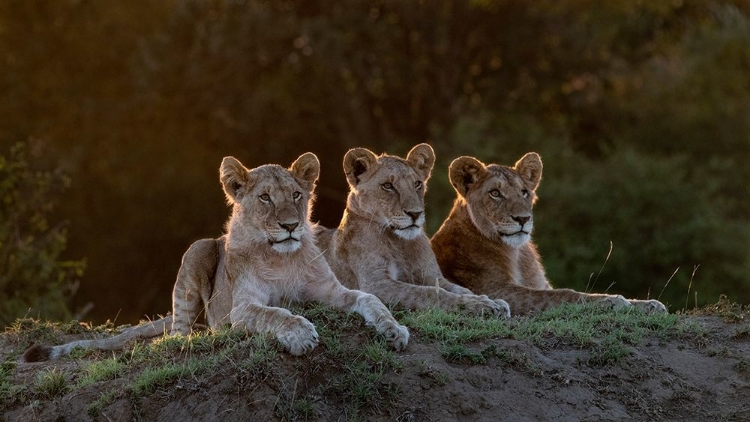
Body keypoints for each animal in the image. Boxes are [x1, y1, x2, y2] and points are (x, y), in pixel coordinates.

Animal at [22, 153, 412, 362]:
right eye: (265, 198)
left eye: (297, 195)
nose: (290, 226)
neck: (282, 258)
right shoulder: (242, 308)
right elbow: (277, 313)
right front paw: (301, 334)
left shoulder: (331, 291)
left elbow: (370, 298)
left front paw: (394, 329)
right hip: (199, 250)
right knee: (179, 331)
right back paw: (194, 337)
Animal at [314, 144, 516, 316]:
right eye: (388, 186)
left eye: (417, 184)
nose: (415, 213)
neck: (400, 242)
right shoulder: (376, 284)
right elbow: (430, 293)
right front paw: (479, 305)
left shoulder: (433, 276)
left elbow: (461, 289)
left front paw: (490, 301)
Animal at [432, 153, 668, 314]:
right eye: (495, 193)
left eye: (524, 192)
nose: (523, 219)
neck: (516, 253)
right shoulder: (495, 290)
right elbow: (561, 295)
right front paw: (613, 301)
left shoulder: (535, 283)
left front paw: (649, 304)